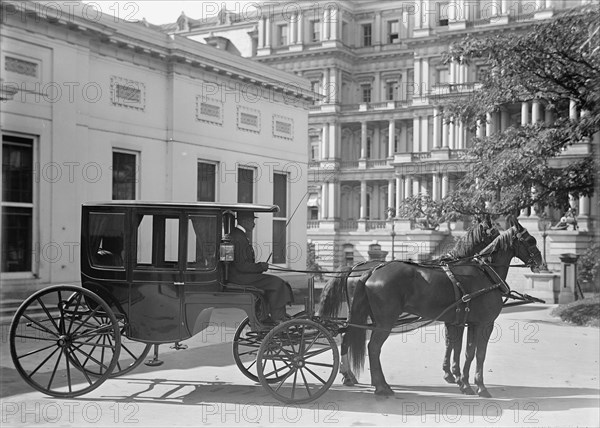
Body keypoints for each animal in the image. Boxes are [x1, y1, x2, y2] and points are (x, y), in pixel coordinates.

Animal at [322, 216, 540, 400]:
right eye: (531, 241)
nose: (540, 262)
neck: (484, 273)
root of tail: (368, 270)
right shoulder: (483, 324)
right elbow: (476, 353)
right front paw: (476, 385)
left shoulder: (464, 322)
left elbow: (463, 350)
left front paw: (461, 380)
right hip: (384, 321)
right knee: (372, 347)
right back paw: (380, 386)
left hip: (361, 316)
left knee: (348, 339)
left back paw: (354, 377)